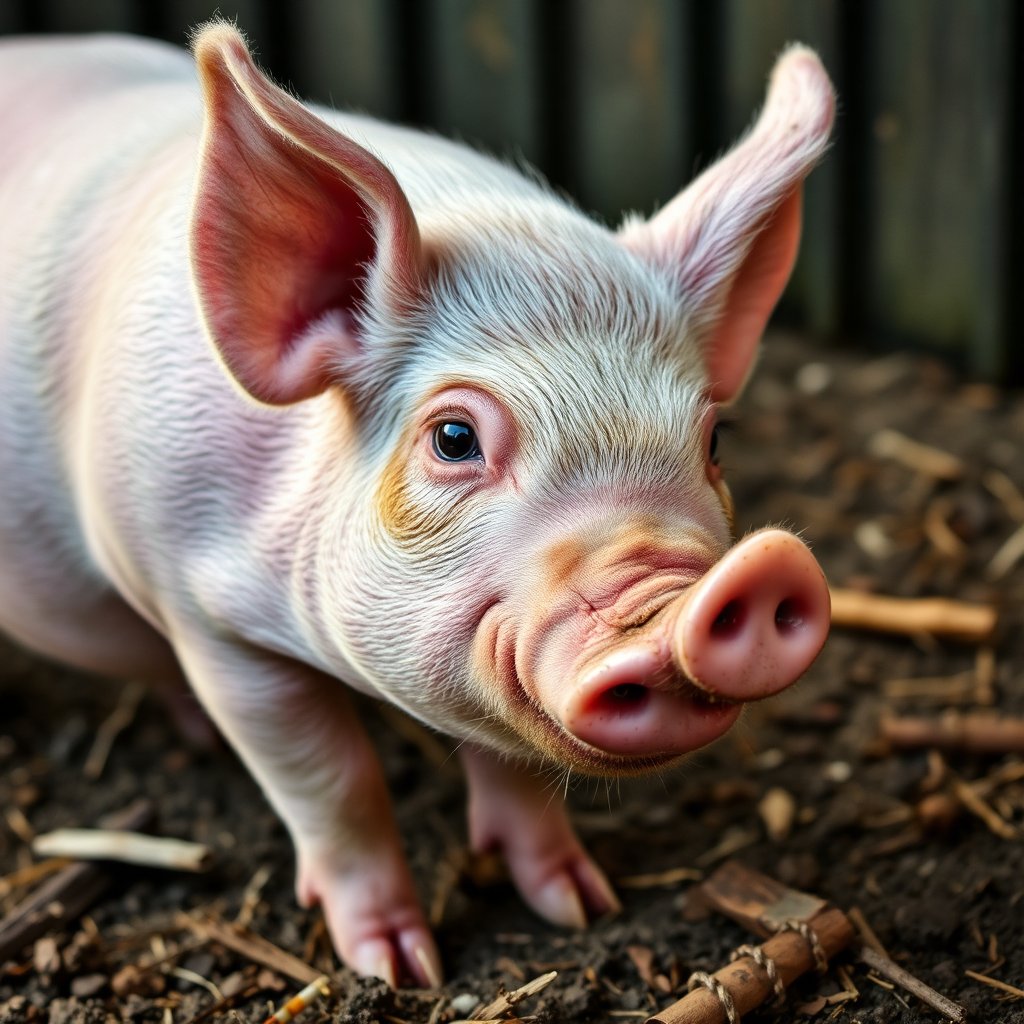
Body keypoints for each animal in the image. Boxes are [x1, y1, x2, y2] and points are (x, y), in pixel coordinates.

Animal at [0, 24, 834, 987]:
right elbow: (335, 781)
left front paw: (579, 906)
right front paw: (400, 969)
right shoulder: (207, 619)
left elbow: (513, 773)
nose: (726, 581)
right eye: (453, 438)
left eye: (714, 441)